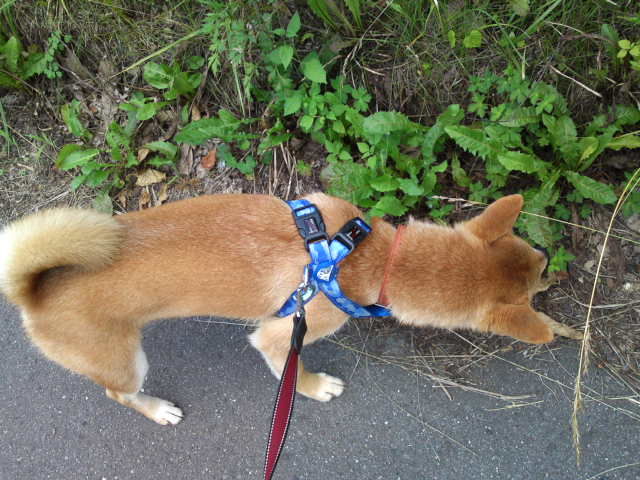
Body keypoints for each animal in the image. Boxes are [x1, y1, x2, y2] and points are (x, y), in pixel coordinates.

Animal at [0, 193, 582, 425]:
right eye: (538, 278)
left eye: (537, 256)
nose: (559, 265)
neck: (370, 260)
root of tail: (33, 290)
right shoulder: (283, 334)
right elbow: (292, 370)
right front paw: (315, 387)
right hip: (125, 362)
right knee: (118, 393)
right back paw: (157, 408)